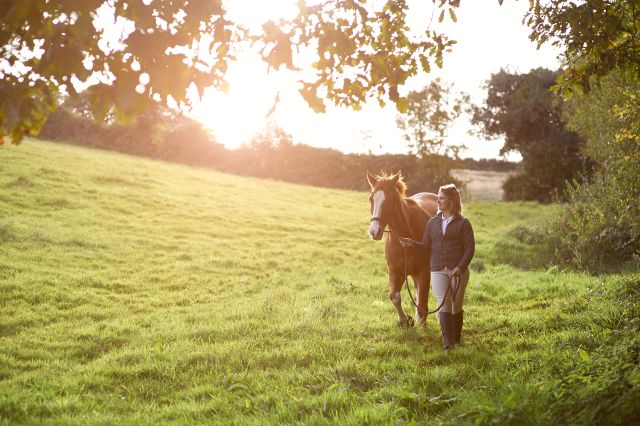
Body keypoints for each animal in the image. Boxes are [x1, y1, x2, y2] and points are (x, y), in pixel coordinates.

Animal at [368, 170, 438, 326]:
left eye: (388, 200)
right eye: (371, 199)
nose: (374, 231)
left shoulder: (424, 272)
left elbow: (422, 302)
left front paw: (419, 324)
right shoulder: (395, 271)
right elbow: (394, 296)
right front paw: (404, 320)